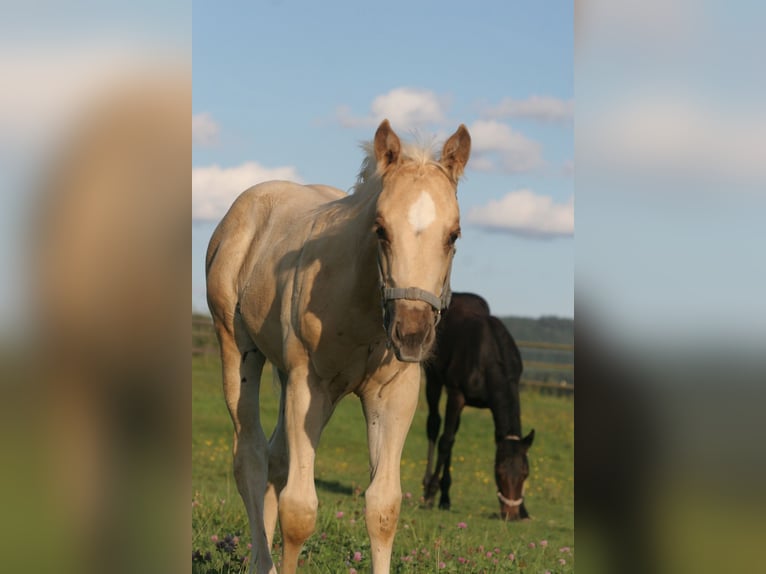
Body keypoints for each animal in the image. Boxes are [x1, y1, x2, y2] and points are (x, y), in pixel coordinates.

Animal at [207, 119, 474, 572]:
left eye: (453, 235)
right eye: (381, 229)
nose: (412, 334)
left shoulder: (395, 395)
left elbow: (383, 508)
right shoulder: (309, 385)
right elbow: (300, 511)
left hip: (291, 376)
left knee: (277, 460)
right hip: (238, 349)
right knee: (251, 458)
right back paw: (261, 561)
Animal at [424, 294, 536, 524]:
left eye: (525, 473)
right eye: (499, 471)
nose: (510, 515)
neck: (489, 357)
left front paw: (525, 511)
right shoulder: (456, 394)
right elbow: (445, 442)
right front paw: (431, 494)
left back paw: (445, 498)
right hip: (433, 379)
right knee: (434, 425)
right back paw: (428, 487)